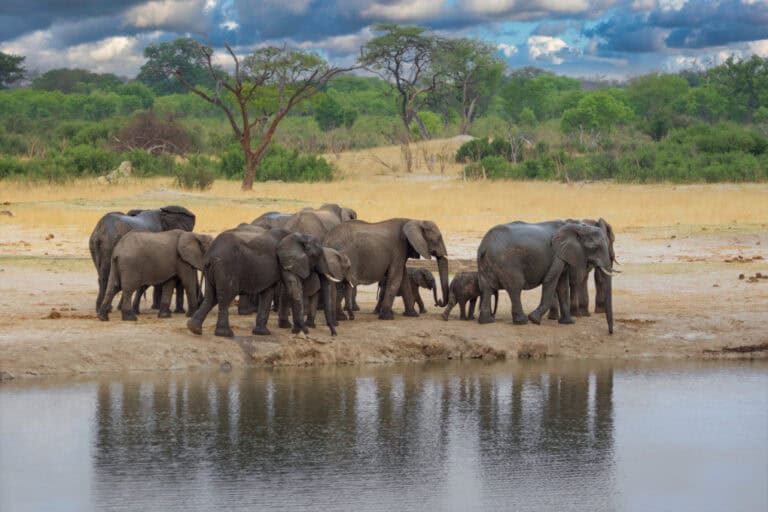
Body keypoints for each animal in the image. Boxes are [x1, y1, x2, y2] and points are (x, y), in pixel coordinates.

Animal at [186, 229, 343, 337]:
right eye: (316, 255)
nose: (334, 334)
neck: (298, 235)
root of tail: (210, 254)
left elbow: (268, 293)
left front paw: (263, 333)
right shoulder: (284, 261)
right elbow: (294, 289)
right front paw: (304, 331)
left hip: (212, 270)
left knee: (210, 297)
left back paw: (194, 329)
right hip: (225, 268)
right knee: (225, 297)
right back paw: (225, 334)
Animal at [477, 221, 614, 334]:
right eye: (595, 247)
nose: (610, 332)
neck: (578, 227)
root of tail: (484, 246)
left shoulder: (564, 254)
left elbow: (562, 285)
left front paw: (569, 322)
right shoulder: (557, 254)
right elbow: (551, 280)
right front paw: (534, 319)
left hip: (485, 264)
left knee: (486, 288)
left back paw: (487, 321)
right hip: (507, 263)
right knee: (515, 287)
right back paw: (522, 321)